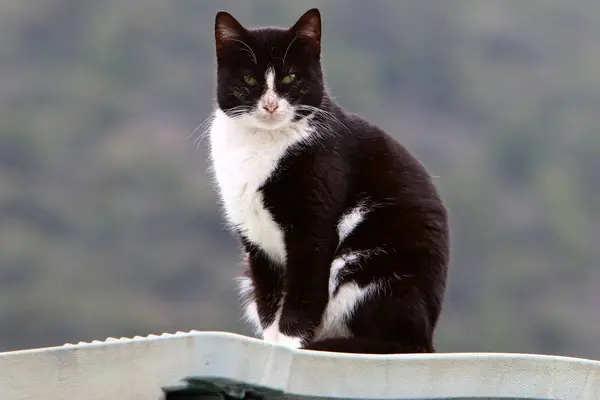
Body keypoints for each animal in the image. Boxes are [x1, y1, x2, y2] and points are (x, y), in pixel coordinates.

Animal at [209, 8, 448, 354]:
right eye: (249, 80)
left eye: (290, 77)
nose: (270, 105)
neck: (261, 144)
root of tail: (427, 336)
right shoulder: (254, 239)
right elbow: (269, 298)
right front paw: (271, 343)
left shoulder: (314, 224)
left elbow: (302, 291)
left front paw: (288, 344)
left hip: (371, 267)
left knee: (397, 341)